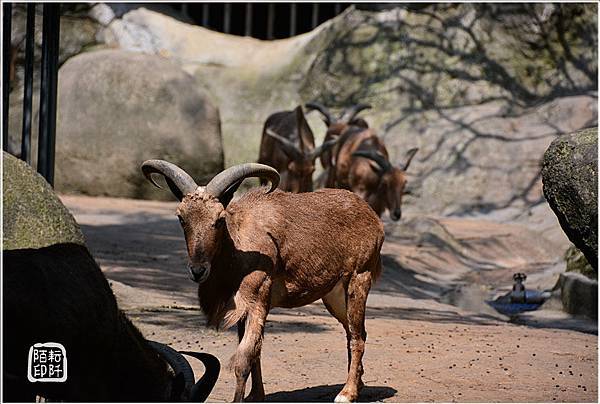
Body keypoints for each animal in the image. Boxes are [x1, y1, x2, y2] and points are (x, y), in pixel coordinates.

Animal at [141, 160, 384, 400]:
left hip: (358, 279)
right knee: (355, 331)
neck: (238, 244)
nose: (198, 270)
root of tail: (373, 218)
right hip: (335, 296)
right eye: (181, 218)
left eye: (219, 219)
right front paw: (256, 395)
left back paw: (347, 393)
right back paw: (358, 385)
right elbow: (255, 352)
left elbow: (244, 358)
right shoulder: (242, 309)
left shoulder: (257, 301)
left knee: (357, 337)